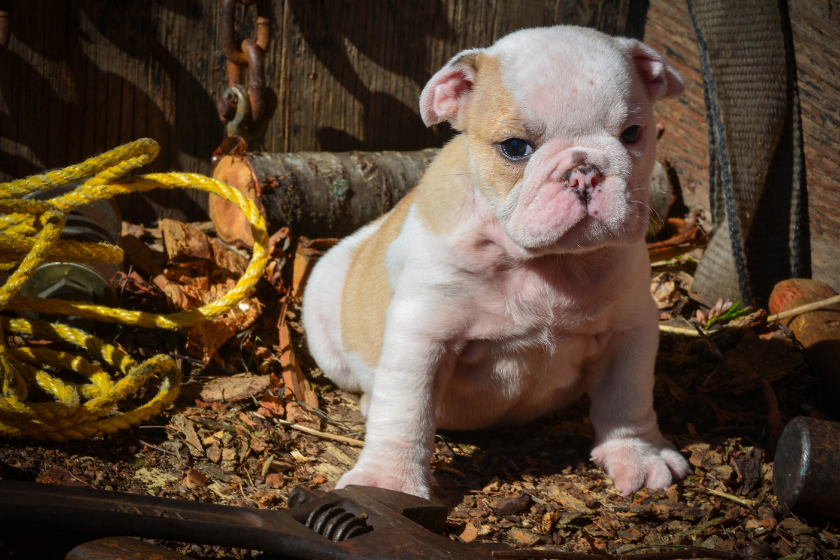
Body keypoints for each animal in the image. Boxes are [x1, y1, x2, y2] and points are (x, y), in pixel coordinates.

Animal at [302, 26, 688, 498]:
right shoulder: (422, 333)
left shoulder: (629, 328)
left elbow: (627, 395)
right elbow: (406, 413)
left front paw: (638, 453)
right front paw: (386, 482)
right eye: (515, 147)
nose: (584, 171)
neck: (546, 264)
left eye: (632, 133)